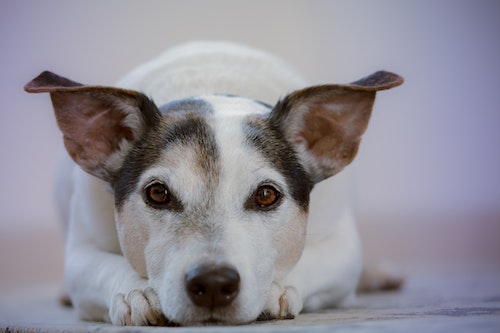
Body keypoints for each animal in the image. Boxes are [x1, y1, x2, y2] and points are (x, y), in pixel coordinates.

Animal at [25, 40, 404, 324]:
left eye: (266, 195)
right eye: (157, 193)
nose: (212, 283)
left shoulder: (342, 247)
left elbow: (312, 260)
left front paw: (275, 288)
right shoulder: (81, 250)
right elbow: (101, 267)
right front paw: (137, 292)